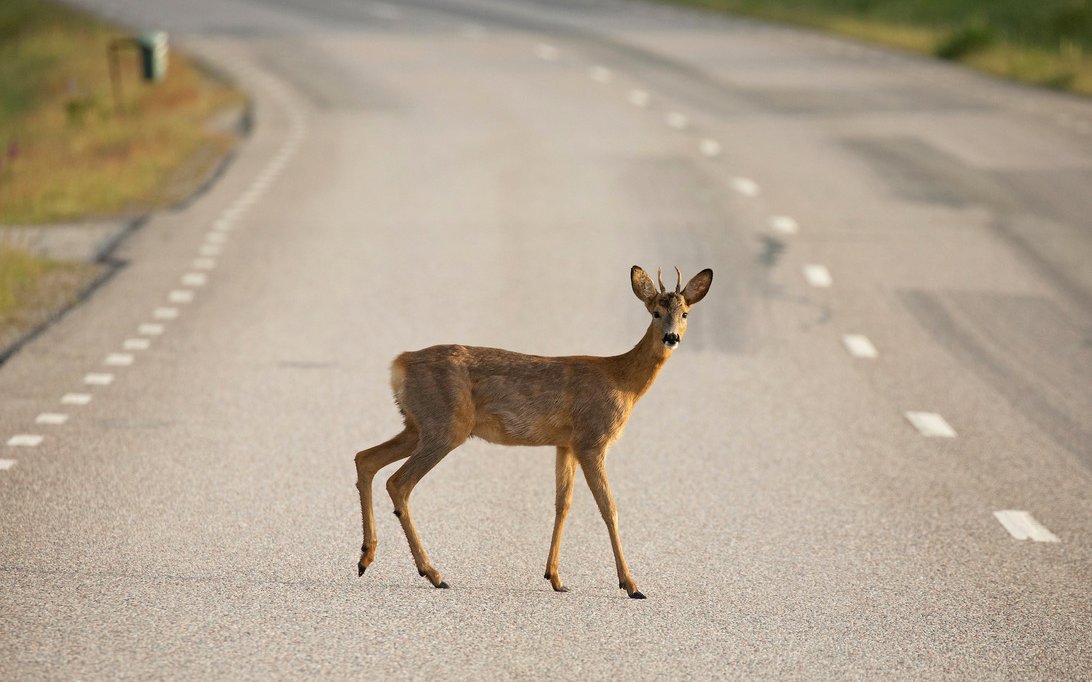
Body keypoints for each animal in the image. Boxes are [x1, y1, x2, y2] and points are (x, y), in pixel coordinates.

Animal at [355, 262, 716, 593]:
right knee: (398, 482)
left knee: (365, 458)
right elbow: (608, 507)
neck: (622, 381)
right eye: (656, 312)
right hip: (444, 426)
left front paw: (555, 577)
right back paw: (432, 573)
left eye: (685, 313)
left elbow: (562, 504)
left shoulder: (565, 443)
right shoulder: (592, 440)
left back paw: (366, 557)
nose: (671, 337)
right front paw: (630, 583)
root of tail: (400, 364)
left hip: (417, 425)